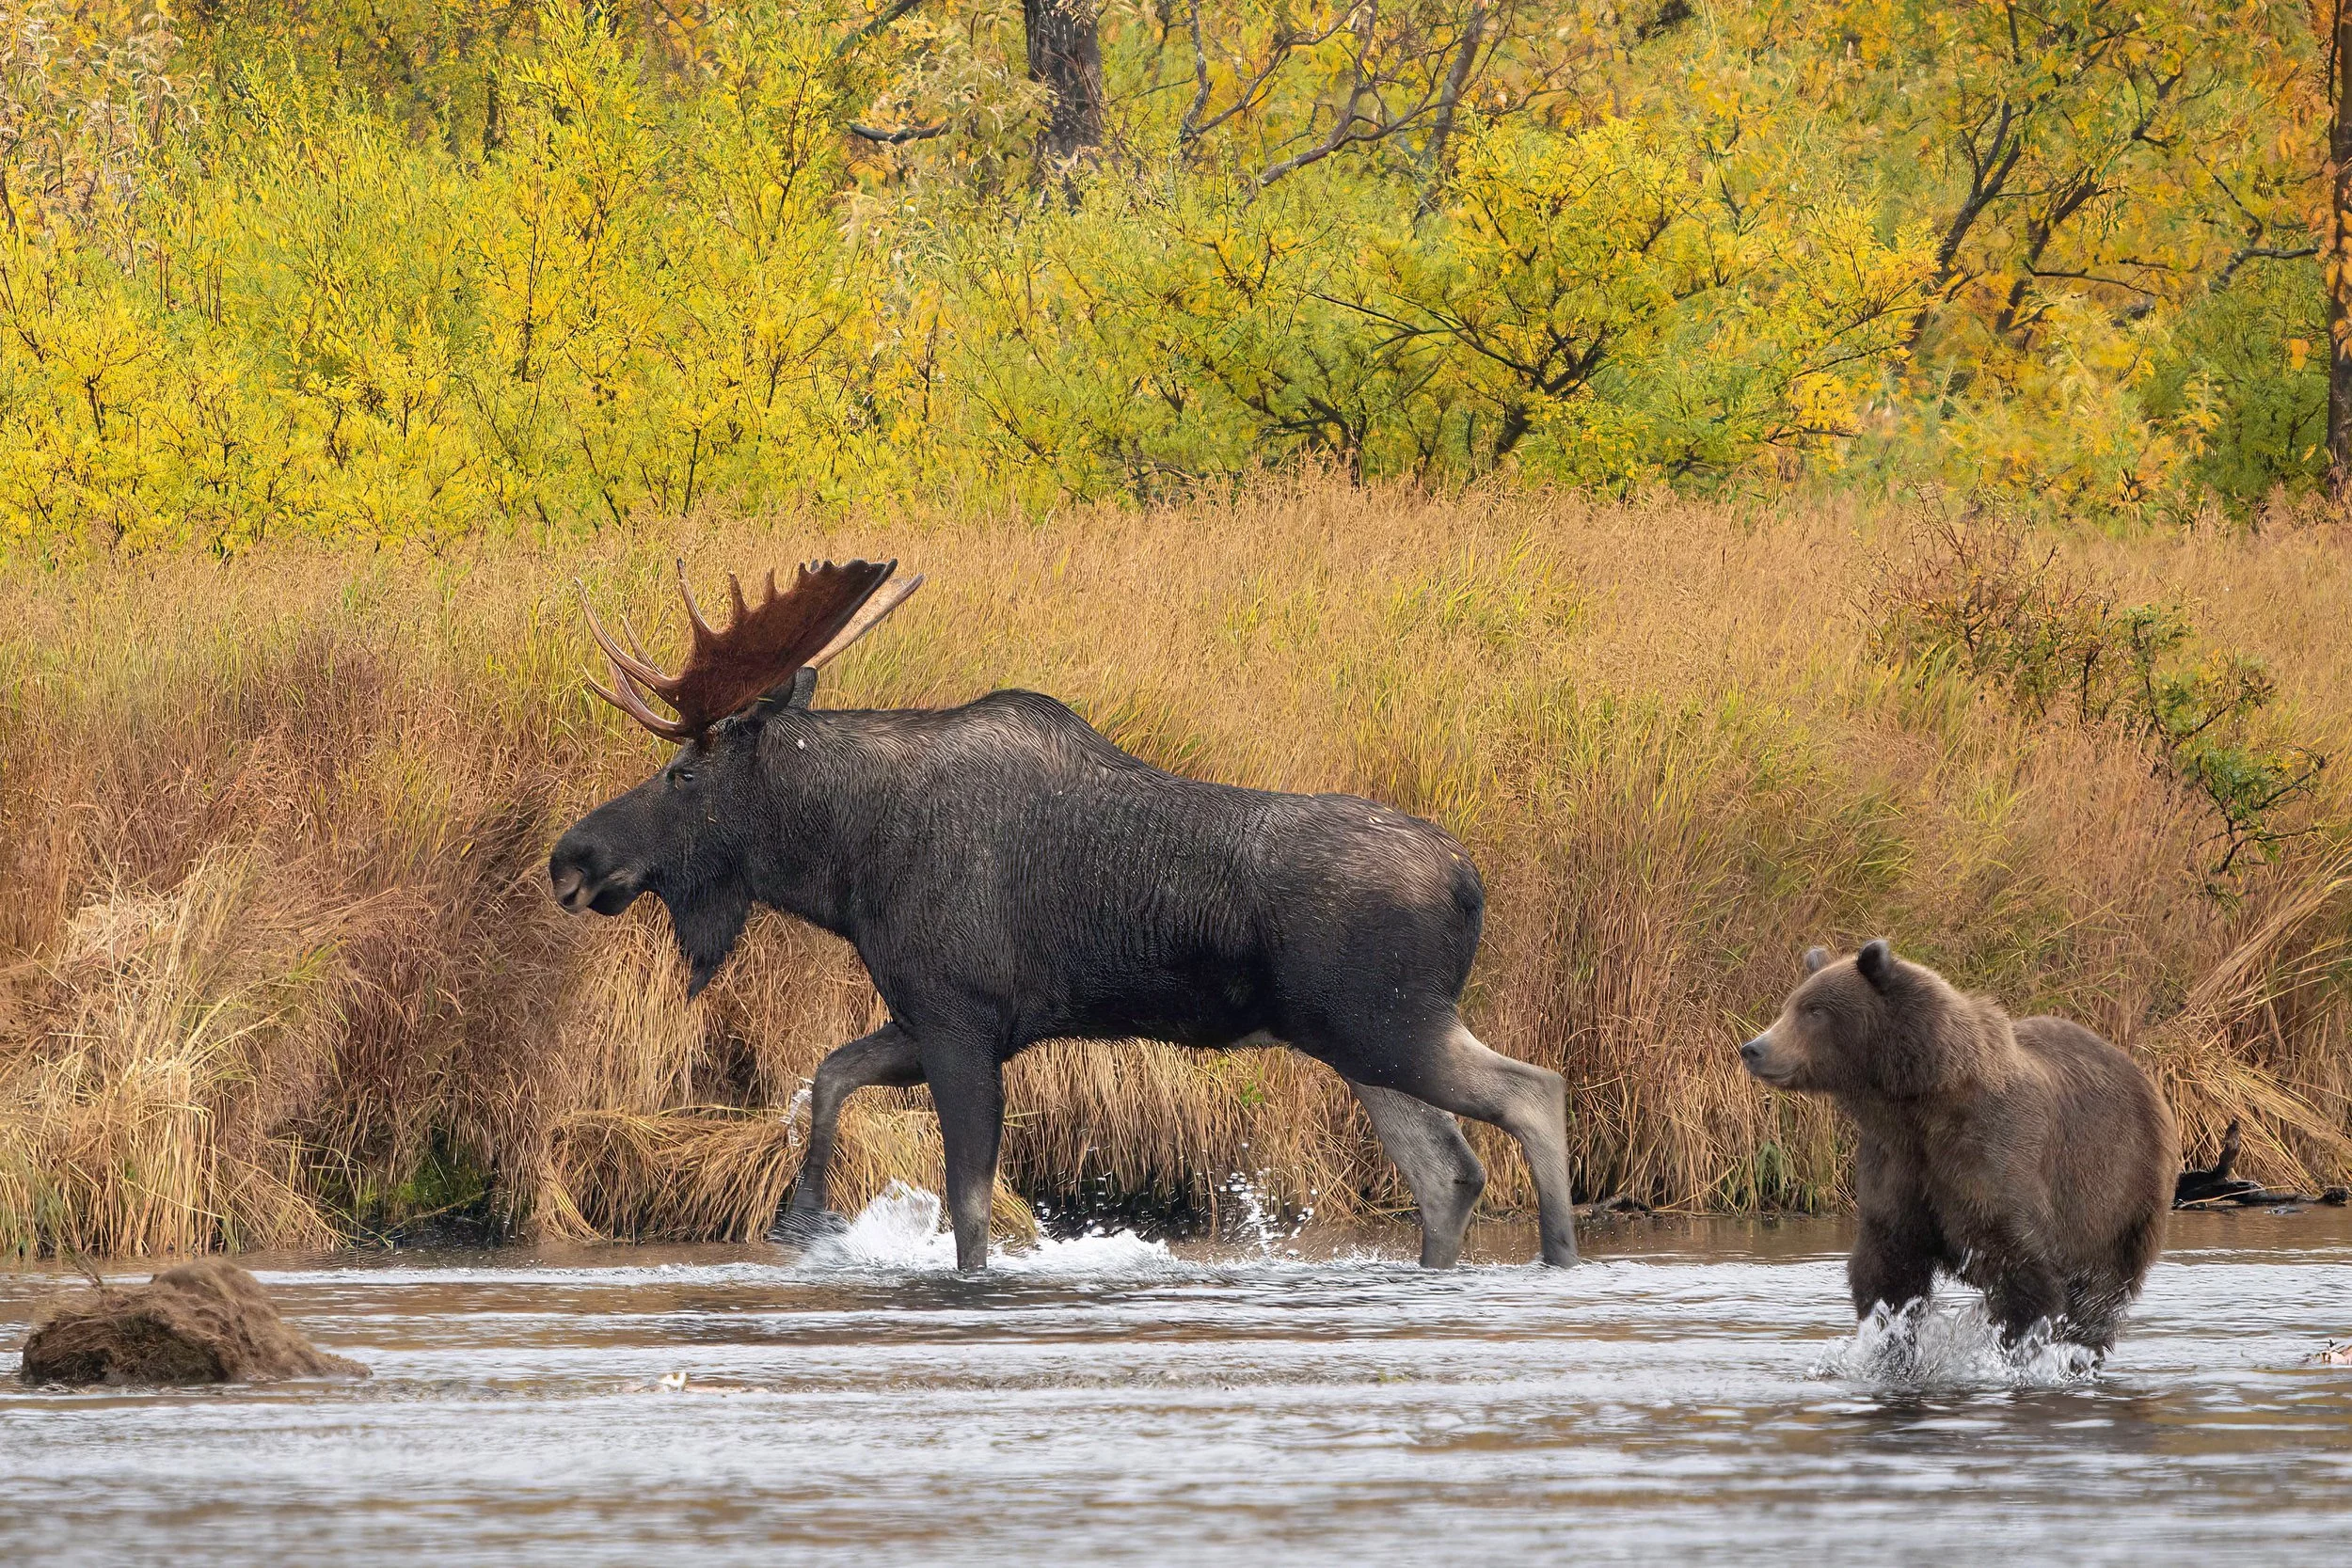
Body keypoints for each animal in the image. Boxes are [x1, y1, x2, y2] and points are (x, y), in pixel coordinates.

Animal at [547, 558, 1579, 1272]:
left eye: (682, 774)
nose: (571, 858)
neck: (845, 863)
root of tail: (1469, 881)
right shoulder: (938, 1014)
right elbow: (830, 1073)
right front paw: (805, 1215)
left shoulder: (961, 1020)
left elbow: (968, 1210)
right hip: (1357, 1042)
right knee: (1448, 1172)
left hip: (1388, 1021)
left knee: (1533, 1091)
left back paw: (1559, 1258)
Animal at [1738, 940, 2177, 1354]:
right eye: (1790, 1005)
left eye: (1814, 1012)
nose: (1754, 1048)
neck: (1918, 1104)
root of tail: (2144, 1078)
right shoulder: (1895, 1160)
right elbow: (1887, 1268)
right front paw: (1888, 1342)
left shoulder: (1989, 1153)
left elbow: (2022, 1276)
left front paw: (2016, 1347)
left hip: (2120, 1194)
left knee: (2099, 1293)